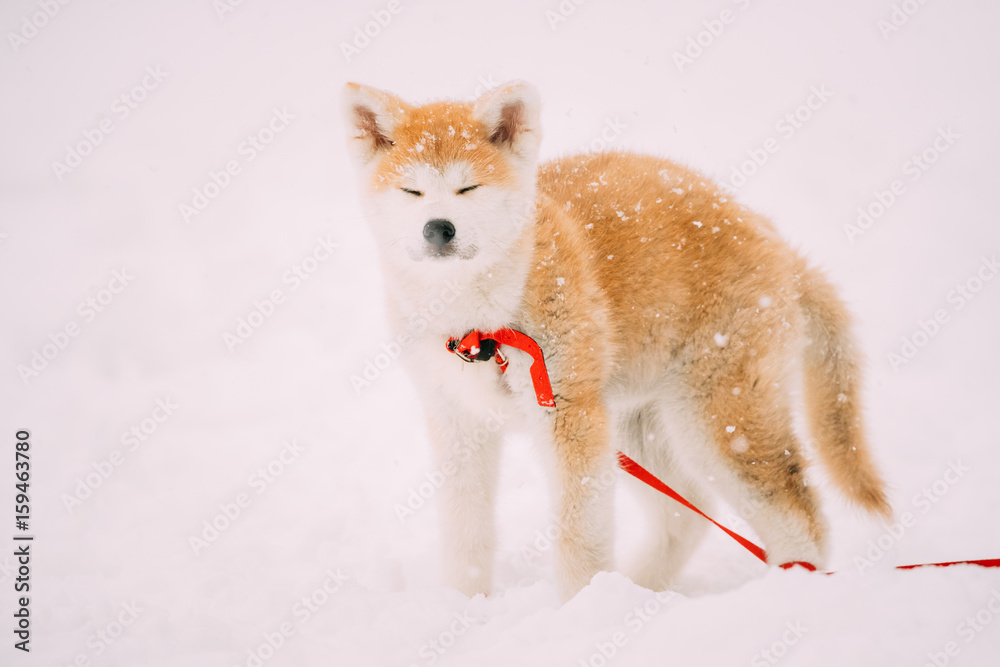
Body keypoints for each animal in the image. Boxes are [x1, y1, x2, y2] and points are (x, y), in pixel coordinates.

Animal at [344, 79, 892, 600]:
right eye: (411, 192)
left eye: (468, 188)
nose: (439, 229)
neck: (481, 324)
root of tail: (768, 233)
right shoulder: (458, 421)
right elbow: (465, 532)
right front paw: (463, 606)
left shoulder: (570, 418)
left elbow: (578, 538)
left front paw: (581, 612)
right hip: (639, 429)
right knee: (689, 515)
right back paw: (639, 592)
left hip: (715, 419)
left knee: (798, 514)